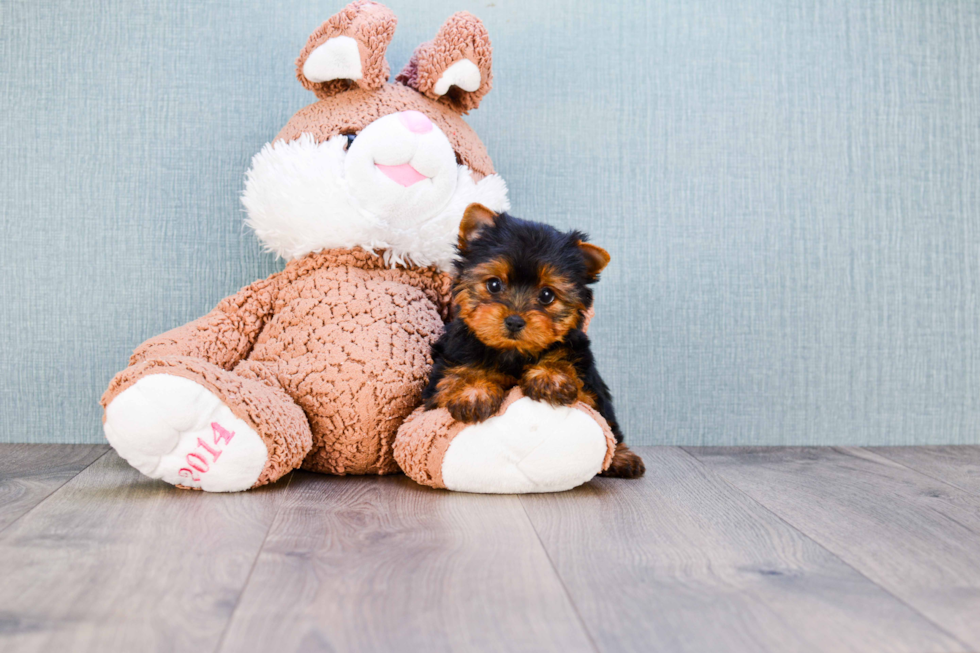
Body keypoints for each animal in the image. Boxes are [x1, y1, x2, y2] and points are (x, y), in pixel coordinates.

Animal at [424, 204, 648, 478]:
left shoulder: (586, 379)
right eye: (494, 284)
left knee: (610, 425)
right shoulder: (446, 367)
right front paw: (473, 391)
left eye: (547, 295)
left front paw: (550, 376)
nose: (514, 321)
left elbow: (578, 388)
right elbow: (456, 376)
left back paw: (622, 458)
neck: (513, 352)